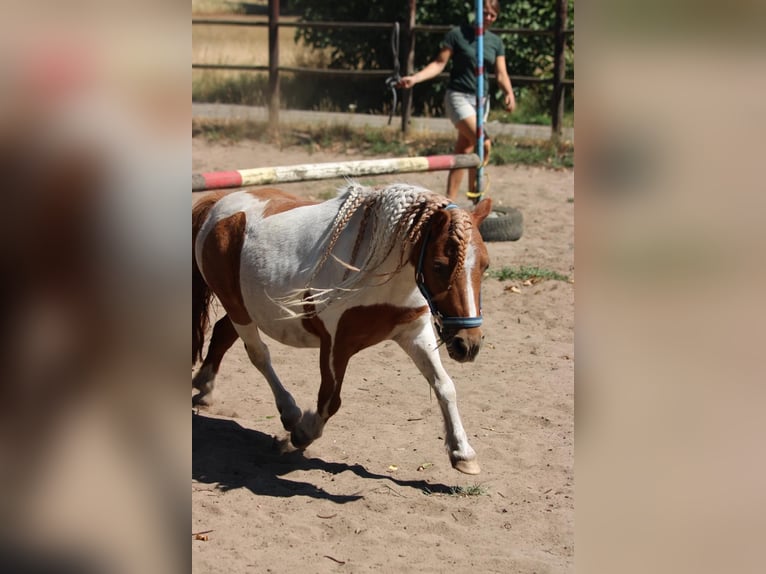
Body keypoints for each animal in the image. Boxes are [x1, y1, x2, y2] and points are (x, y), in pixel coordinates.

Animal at [192, 181, 492, 474]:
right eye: (439, 265)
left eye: (485, 265)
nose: (468, 344)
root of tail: (218, 205)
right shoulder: (336, 344)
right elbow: (330, 400)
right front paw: (301, 434)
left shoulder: (415, 332)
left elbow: (445, 386)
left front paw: (462, 453)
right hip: (238, 308)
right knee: (258, 354)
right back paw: (289, 412)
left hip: (246, 308)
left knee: (222, 333)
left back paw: (205, 386)